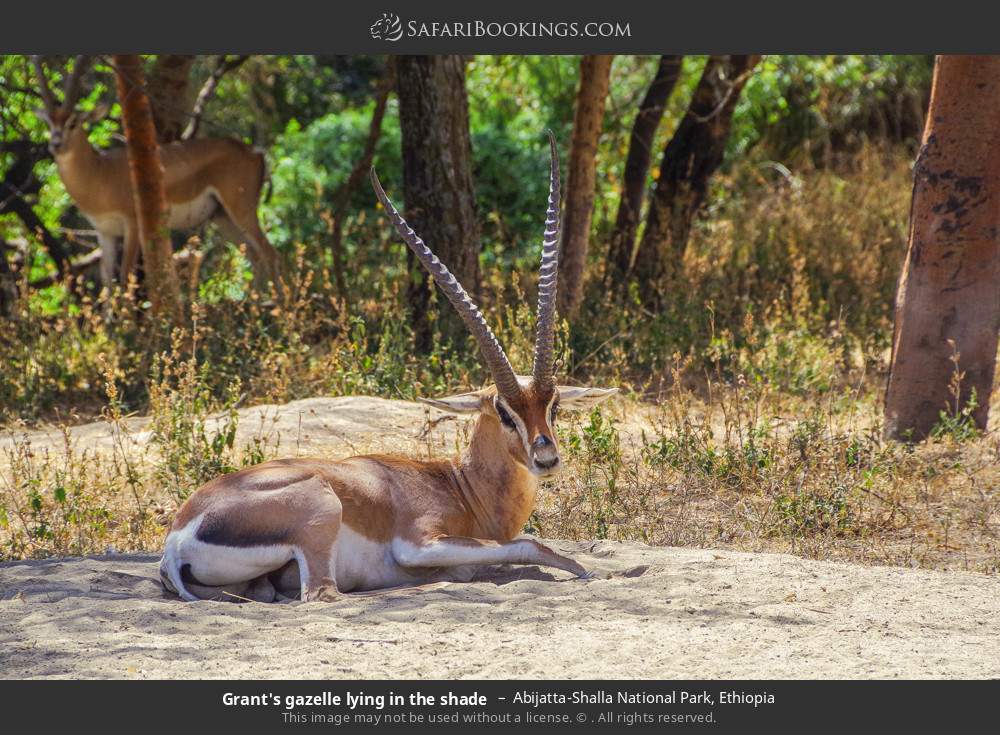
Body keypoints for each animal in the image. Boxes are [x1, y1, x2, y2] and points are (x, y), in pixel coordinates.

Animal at [32, 56, 281, 290]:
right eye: (49, 122)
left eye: (73, 122)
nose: (55, 145)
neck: (100, 174)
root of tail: (255, 152)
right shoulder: (105, 232)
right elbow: (108, 284)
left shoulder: (132, 224)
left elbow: (125, 276)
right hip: (221, 217)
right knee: (255, 256)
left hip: (240, 210)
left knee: (271, 254)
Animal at [159, 133, 616, 603]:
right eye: (504, 412)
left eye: (553, 405)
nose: (546, 457)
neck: (459, 484)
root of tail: (176, 540)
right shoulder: (420, 543)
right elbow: (529, 543)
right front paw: (584, 570)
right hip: (323, 511)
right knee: (323, 594)